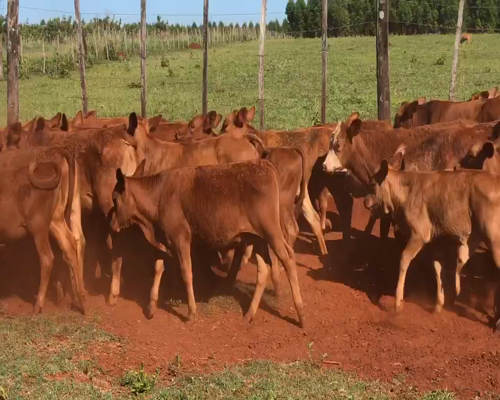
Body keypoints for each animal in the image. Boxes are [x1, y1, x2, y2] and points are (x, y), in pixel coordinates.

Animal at [0, 145, 86, 314]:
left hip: (38, 227)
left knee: (47, 258)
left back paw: (38, 305)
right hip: (56, 221)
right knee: (73, 244)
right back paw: (82, 301)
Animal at [109, 161, 304, 326]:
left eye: (115, 198)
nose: (111, 223)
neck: (159, 196)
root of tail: (264, 165)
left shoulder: (181, 239)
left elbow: (187, 273)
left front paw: (191, 312)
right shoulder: (165, 239)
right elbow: (158, 268)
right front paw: (151, 306)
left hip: (271, 232)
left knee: (288, 259)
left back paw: (301, 314)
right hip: (257, 237)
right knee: (263, 269)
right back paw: (249, 314)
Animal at [364, 158, 500, 330]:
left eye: (373, 183)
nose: (365, 202)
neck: (406, 190)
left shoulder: (418, 235)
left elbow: (404, 259)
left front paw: (397, 305)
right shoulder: (436, 242)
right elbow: (437, 267)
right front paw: (438, 305)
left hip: (495, 241)